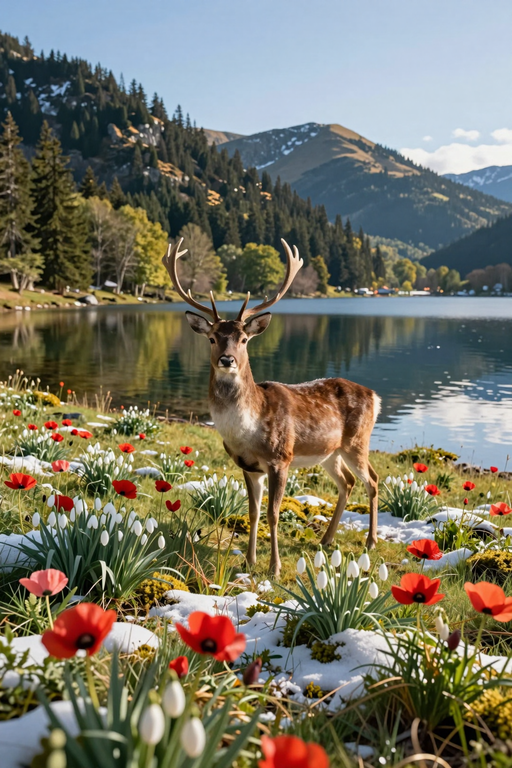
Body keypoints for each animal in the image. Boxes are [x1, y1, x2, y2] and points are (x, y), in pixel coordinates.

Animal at [162, 238, 381, 577]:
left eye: (243, 339)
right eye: (212, 338)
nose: (227, 359)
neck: (247, 430)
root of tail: (374, 395)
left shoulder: (281, 459)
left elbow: (273, 513)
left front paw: (274, 568)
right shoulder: (249, 467)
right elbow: (252, 512)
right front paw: (249, 561)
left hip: (357, 441)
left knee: (372, 480)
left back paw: (370, 541)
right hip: (330, 452)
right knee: (348, 482)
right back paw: (326, 539)